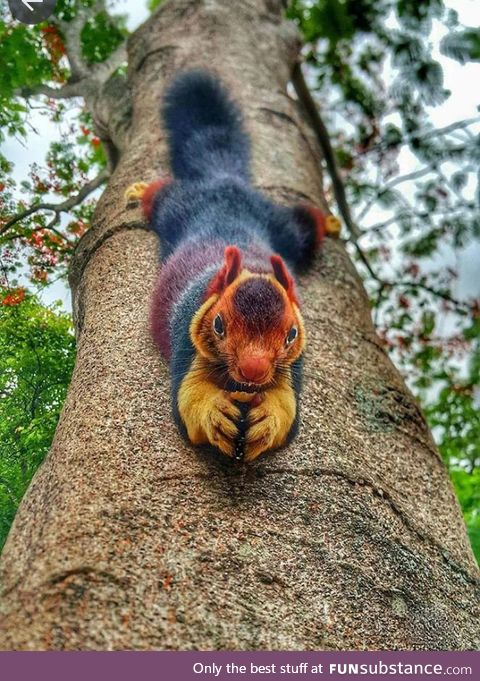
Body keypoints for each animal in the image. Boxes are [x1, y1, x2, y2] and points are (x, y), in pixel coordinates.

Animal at [125, 70, 340, 462]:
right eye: (219, 325)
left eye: (292, 334)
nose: (253, 370)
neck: (255, 269)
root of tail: (226, 183)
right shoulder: (187, 335)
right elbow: (188, 397)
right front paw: (214, 414)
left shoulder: (294, 365)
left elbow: (287, 405)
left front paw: (268, 419)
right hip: (179, 206)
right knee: (162, 195)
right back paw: (142, 190)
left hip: (284, 228)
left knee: (305, 224)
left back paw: (329, 223)